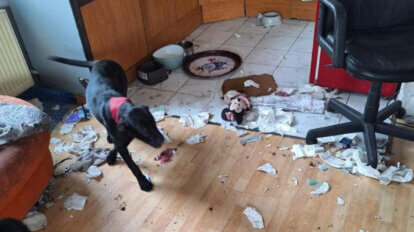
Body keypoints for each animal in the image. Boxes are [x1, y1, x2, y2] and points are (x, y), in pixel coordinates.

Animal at [49, 57, 163, 191]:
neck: (122, 109)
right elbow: (132, 165)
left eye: (153, 122)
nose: (161, 141)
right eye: (142, 129)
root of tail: (99, 61)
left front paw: (111, 155)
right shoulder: (121, 138)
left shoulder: (123, 137)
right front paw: (143, 182)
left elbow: (117, 145)